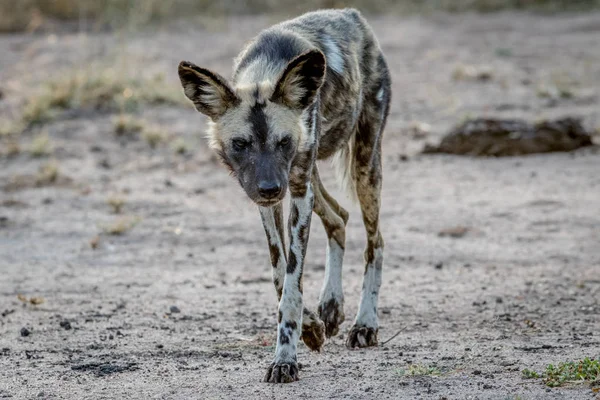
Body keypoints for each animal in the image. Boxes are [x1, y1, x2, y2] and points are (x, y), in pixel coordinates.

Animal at [178, 7, 392, 382]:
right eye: (240, 143)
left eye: (283, 141)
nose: (270, 188)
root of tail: (351, 14)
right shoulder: (271, 201)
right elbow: (281, 276)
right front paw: (311, 328)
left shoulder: (298, 193)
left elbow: (291, 284)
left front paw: (285, 359)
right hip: (309, 177)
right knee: (339, 217)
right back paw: (331, 307)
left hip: (363, 167)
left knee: (374, 242)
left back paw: (365, 324)